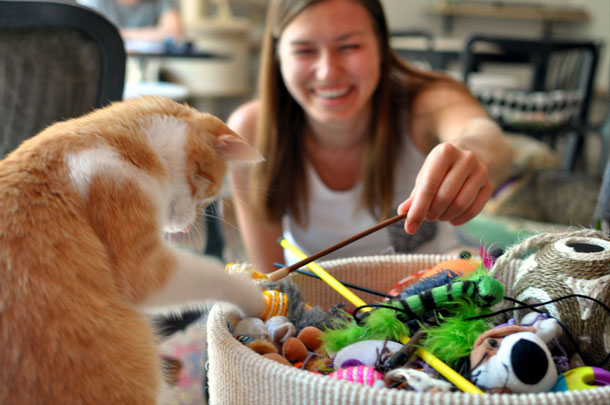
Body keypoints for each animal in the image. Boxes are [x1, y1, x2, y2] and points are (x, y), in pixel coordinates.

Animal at [1, 96, 264, 402]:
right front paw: (253, 292)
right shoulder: (142, 265)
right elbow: (213, 272)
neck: (106, 141)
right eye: (207, 196)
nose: (187, 228)